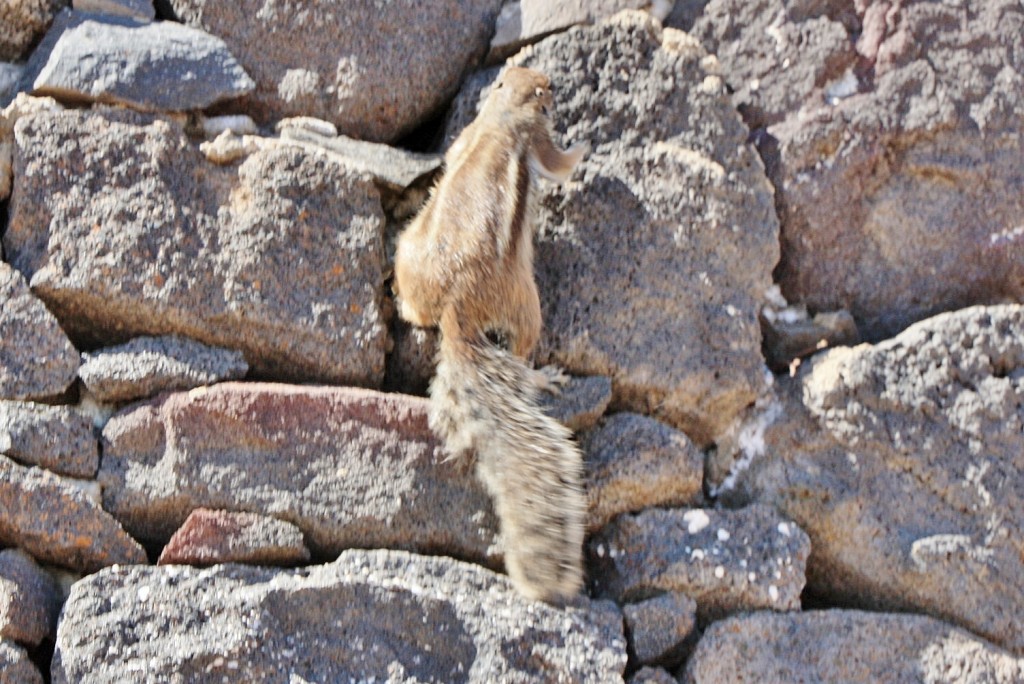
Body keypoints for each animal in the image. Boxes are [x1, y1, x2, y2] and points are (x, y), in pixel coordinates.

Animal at [397, 66, 598, 602]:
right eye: (542, 89)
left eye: (511, 74)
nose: (548, 81)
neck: (502, 117)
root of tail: (454, 311)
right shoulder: (537, 141)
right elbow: (560, 165)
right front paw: (587, 146)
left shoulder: (467, 134)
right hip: (526, 300)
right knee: (524, 350)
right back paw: (545, 377)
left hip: (408, 254)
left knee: (415, 309)